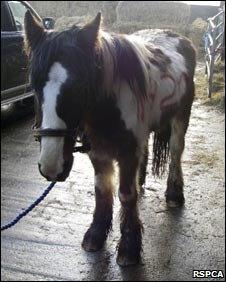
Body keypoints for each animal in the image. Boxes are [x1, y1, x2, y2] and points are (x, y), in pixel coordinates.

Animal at [23, 11, 195, 266]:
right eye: (34, 86)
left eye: (81, 84)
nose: (51, 166)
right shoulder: (98, 152)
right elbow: (102, 190)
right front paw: (95, 235)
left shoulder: (127, 152)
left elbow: (126, 194)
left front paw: (129, 248)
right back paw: (141, 180)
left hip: (181, 116)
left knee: (176, 152)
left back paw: (174, 194)